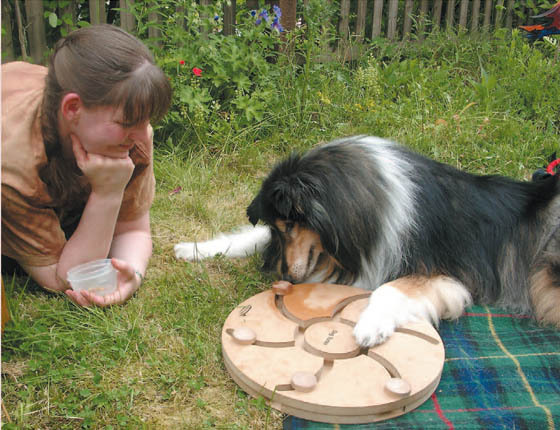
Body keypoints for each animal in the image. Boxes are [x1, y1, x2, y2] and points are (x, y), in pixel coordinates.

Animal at [173, 136, 556, 348]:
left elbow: (388, 289)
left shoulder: (444, 274)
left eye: (291, 224)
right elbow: (246, 237)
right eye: (279, 228)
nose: (282, 277)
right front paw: (194, 248)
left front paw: (370, 327)